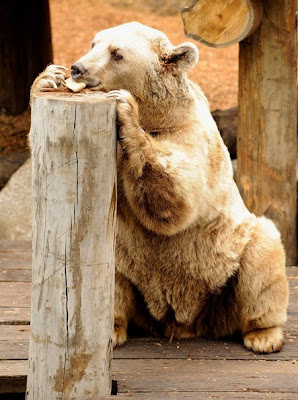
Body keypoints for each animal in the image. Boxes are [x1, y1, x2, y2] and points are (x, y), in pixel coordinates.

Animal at [30, 21, 288, 354]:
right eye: (93, 43)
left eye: (117, 53)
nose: (77, 68)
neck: (160, 115)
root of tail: (187, 322)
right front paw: (49, 76)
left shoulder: (191, 136)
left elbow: (175, 198)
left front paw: (126, 110)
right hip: (127, 262)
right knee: (111, 279)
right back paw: (113, 329)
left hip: (226, 260)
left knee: (262, 256)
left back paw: (263, 335)